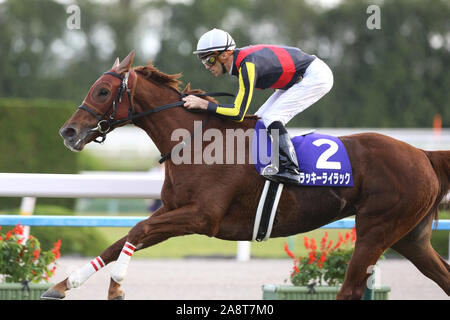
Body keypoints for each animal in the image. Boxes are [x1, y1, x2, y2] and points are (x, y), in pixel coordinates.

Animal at [43, 52, 450, 300]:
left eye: (103, 91)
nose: (67, 132)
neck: (196, 141)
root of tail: (423, 154)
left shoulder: (202, 217)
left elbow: (137, 230)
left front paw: (116, 288)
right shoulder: (172, 211)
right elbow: (124, 238)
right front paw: (63, 283)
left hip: (376, 230)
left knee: (350, 289)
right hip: (410, 237)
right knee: (442, 274)